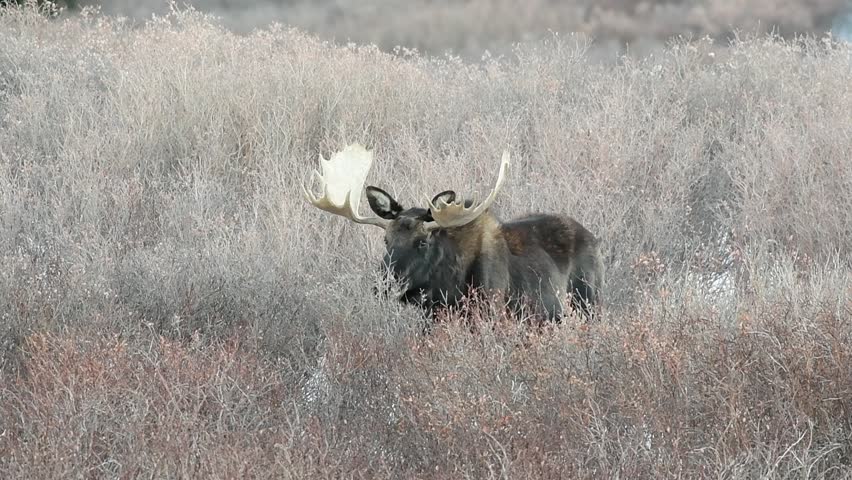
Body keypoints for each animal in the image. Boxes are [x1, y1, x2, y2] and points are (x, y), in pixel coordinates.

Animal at [301, 143, 604, 323]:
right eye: (386, 240)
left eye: (422, 242)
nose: (384, 286)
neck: (447, 289)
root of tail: (594, 239)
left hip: (590, 305)